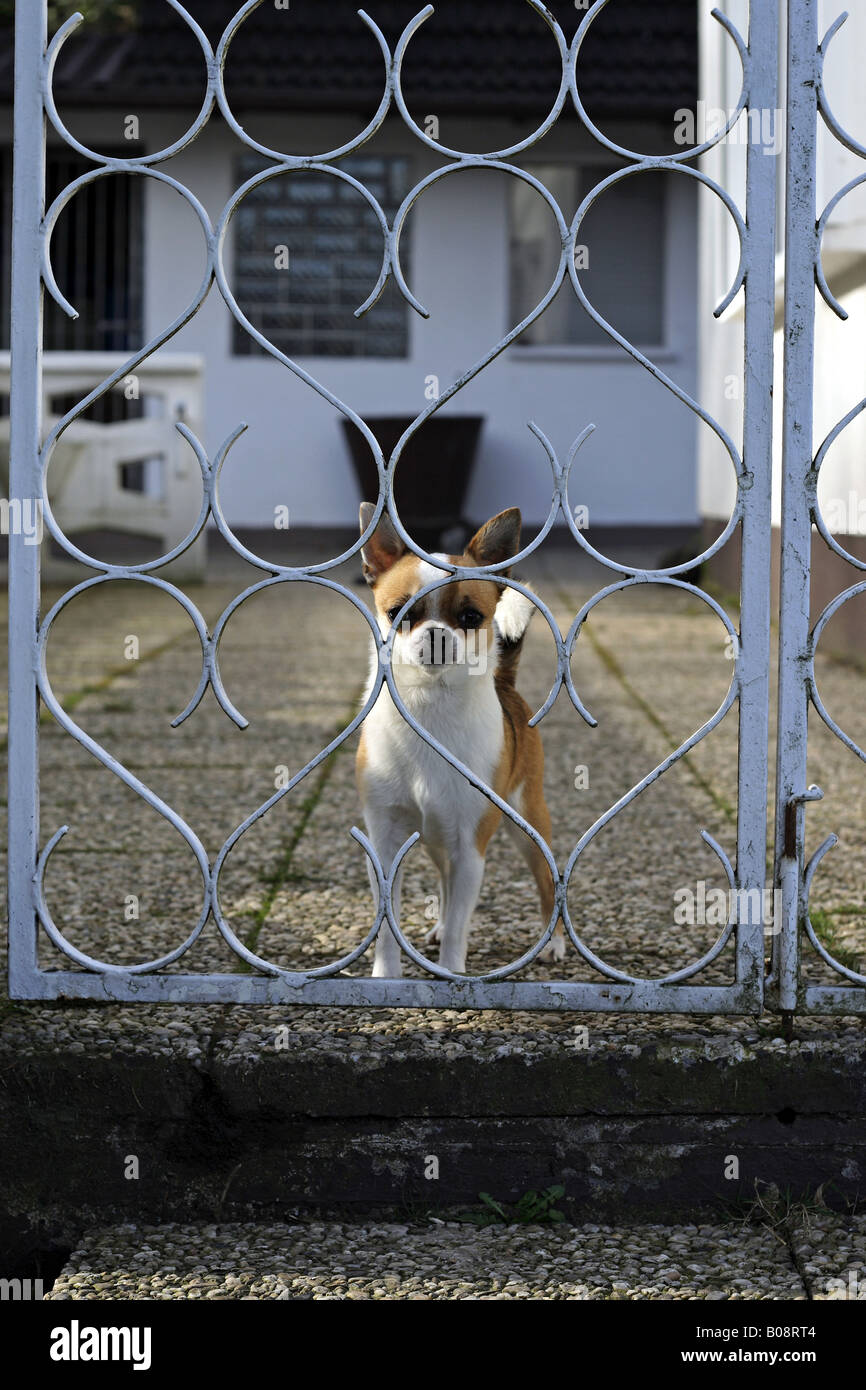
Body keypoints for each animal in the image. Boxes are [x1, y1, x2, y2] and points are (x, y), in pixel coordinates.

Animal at [354, 503, 561, 978]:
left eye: (471, 618)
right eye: (398, 613)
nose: (435, 634)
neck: (429, 708)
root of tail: (506, 684)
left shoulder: (471, 847)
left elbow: (460, 928)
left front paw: (451, 971)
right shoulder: (385, 843)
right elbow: (388, 922)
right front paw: (386, 976)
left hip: (528, 824)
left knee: (547, 882)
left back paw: (555, 942)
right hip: (437, 841)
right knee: (446, 887)